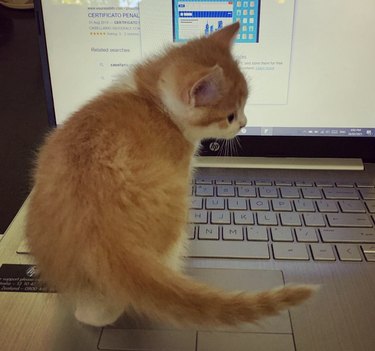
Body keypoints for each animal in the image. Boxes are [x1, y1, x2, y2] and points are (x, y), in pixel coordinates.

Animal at [26, 23, 314, 328]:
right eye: (230, 116)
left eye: (244, 107)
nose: (245, 124)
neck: (154, 99)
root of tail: (102, 238)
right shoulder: (181, 165)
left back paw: (90, 314)